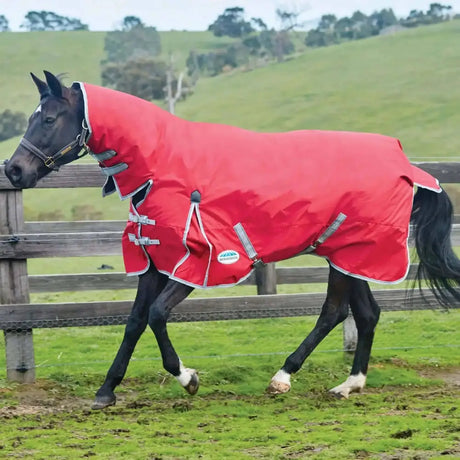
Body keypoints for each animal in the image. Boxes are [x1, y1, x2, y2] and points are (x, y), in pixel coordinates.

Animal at [4, 70, 460, 408]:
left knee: (333, 312)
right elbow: (134, 321)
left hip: (350, 256)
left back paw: (282, 378)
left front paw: (188, 378)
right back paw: (350, 385)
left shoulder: (201, 262)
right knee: (366, 314)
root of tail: (406, 164)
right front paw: (105, 391)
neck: (163, 166)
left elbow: (156, 315)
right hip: (349, 255)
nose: (13, 170)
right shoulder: (154, 260)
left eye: (48, 119)